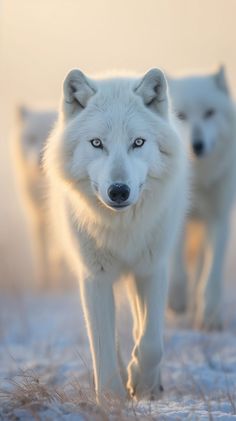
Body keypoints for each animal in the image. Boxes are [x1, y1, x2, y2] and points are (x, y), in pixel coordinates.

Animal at [12, 106, 60, 288]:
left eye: (50, 136)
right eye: (31, 138)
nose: (40, 159)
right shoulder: (37, 217)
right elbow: (41, 253)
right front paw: (44, 283)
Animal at [43, 68, 188, 400]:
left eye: (138, 142)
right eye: (97, 143)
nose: (118, 191)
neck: (122, 229)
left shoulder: (152, 269)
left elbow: (151, 343)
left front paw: (143, 383)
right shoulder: (94, 277)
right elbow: (103, 347)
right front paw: (112, 399)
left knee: (139, 329)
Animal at [168, 66, 236, 328]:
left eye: (209, 113)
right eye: (181, 115)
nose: (197, 145)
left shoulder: (219, 220)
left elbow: (211, 274)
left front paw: (209, 316)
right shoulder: (178, 219)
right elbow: (177, 267)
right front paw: (177, 302)